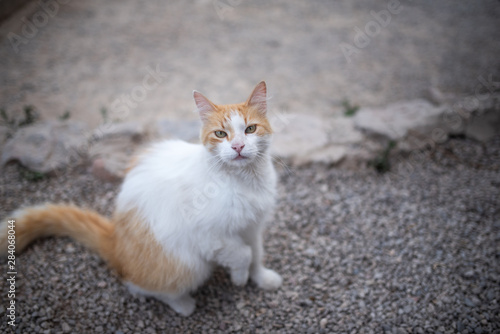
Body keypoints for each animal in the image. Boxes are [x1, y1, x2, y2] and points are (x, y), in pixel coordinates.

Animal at [0, 80, 282, 316]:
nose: (238, 147)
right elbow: (242, 254)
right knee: (140, 286)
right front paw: (239, 278)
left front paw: (261, 278)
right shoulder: (209, 236)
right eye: (221, 134)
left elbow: (255, 253)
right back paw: (183, 304)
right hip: (188, 265)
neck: (245, 180)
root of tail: (115, 241)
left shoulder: (252, 226)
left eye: (250, 129)